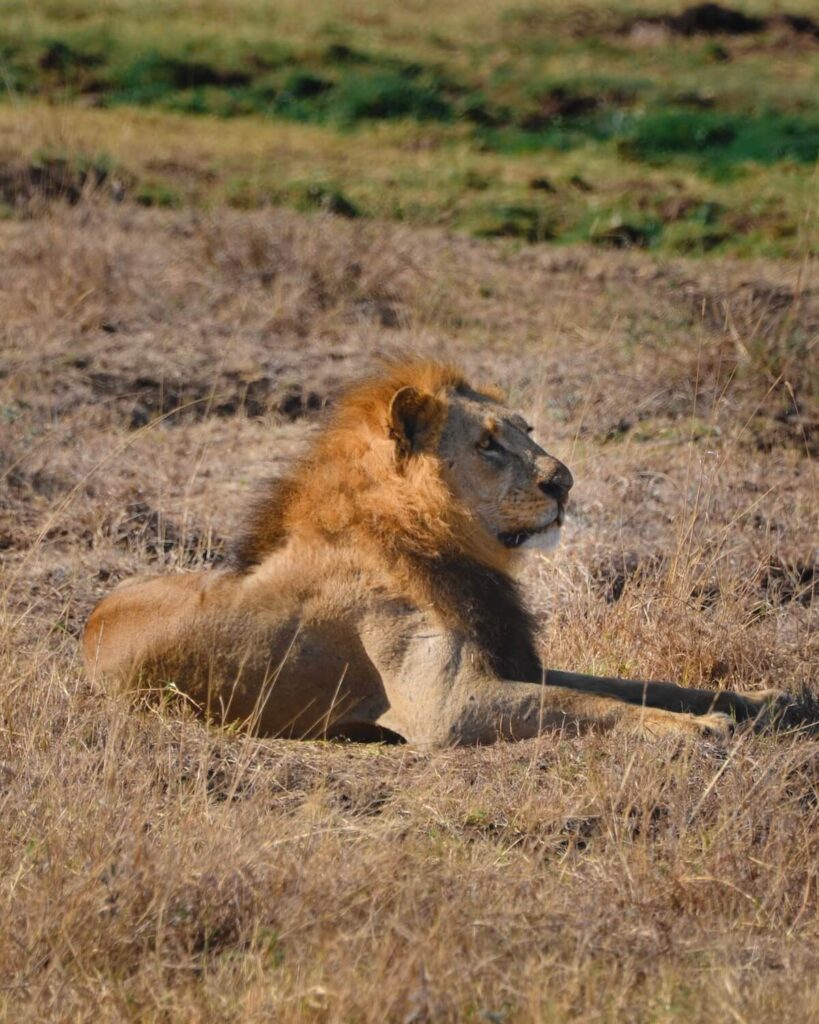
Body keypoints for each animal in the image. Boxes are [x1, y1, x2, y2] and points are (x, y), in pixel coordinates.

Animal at [83, 360, 789, 747]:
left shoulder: (512, 660)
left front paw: (760, 701)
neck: (440, 539)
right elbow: (595, 705)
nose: (564, 481)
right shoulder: (444, 706)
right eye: (488, 445)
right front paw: (701, 730)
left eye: (528, 431)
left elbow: (636, 685)